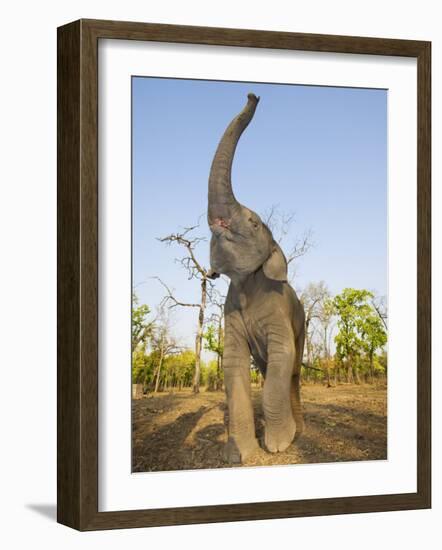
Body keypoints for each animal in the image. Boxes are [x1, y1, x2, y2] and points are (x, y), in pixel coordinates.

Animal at [206, 92, 304, 464]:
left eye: (252, 222)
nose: (253, 95)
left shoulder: (278, 311)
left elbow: (283, 355)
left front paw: (277, 446)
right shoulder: (230, 313)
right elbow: (233, 363)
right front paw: (237, 456)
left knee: (292, 370)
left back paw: (300, 430)